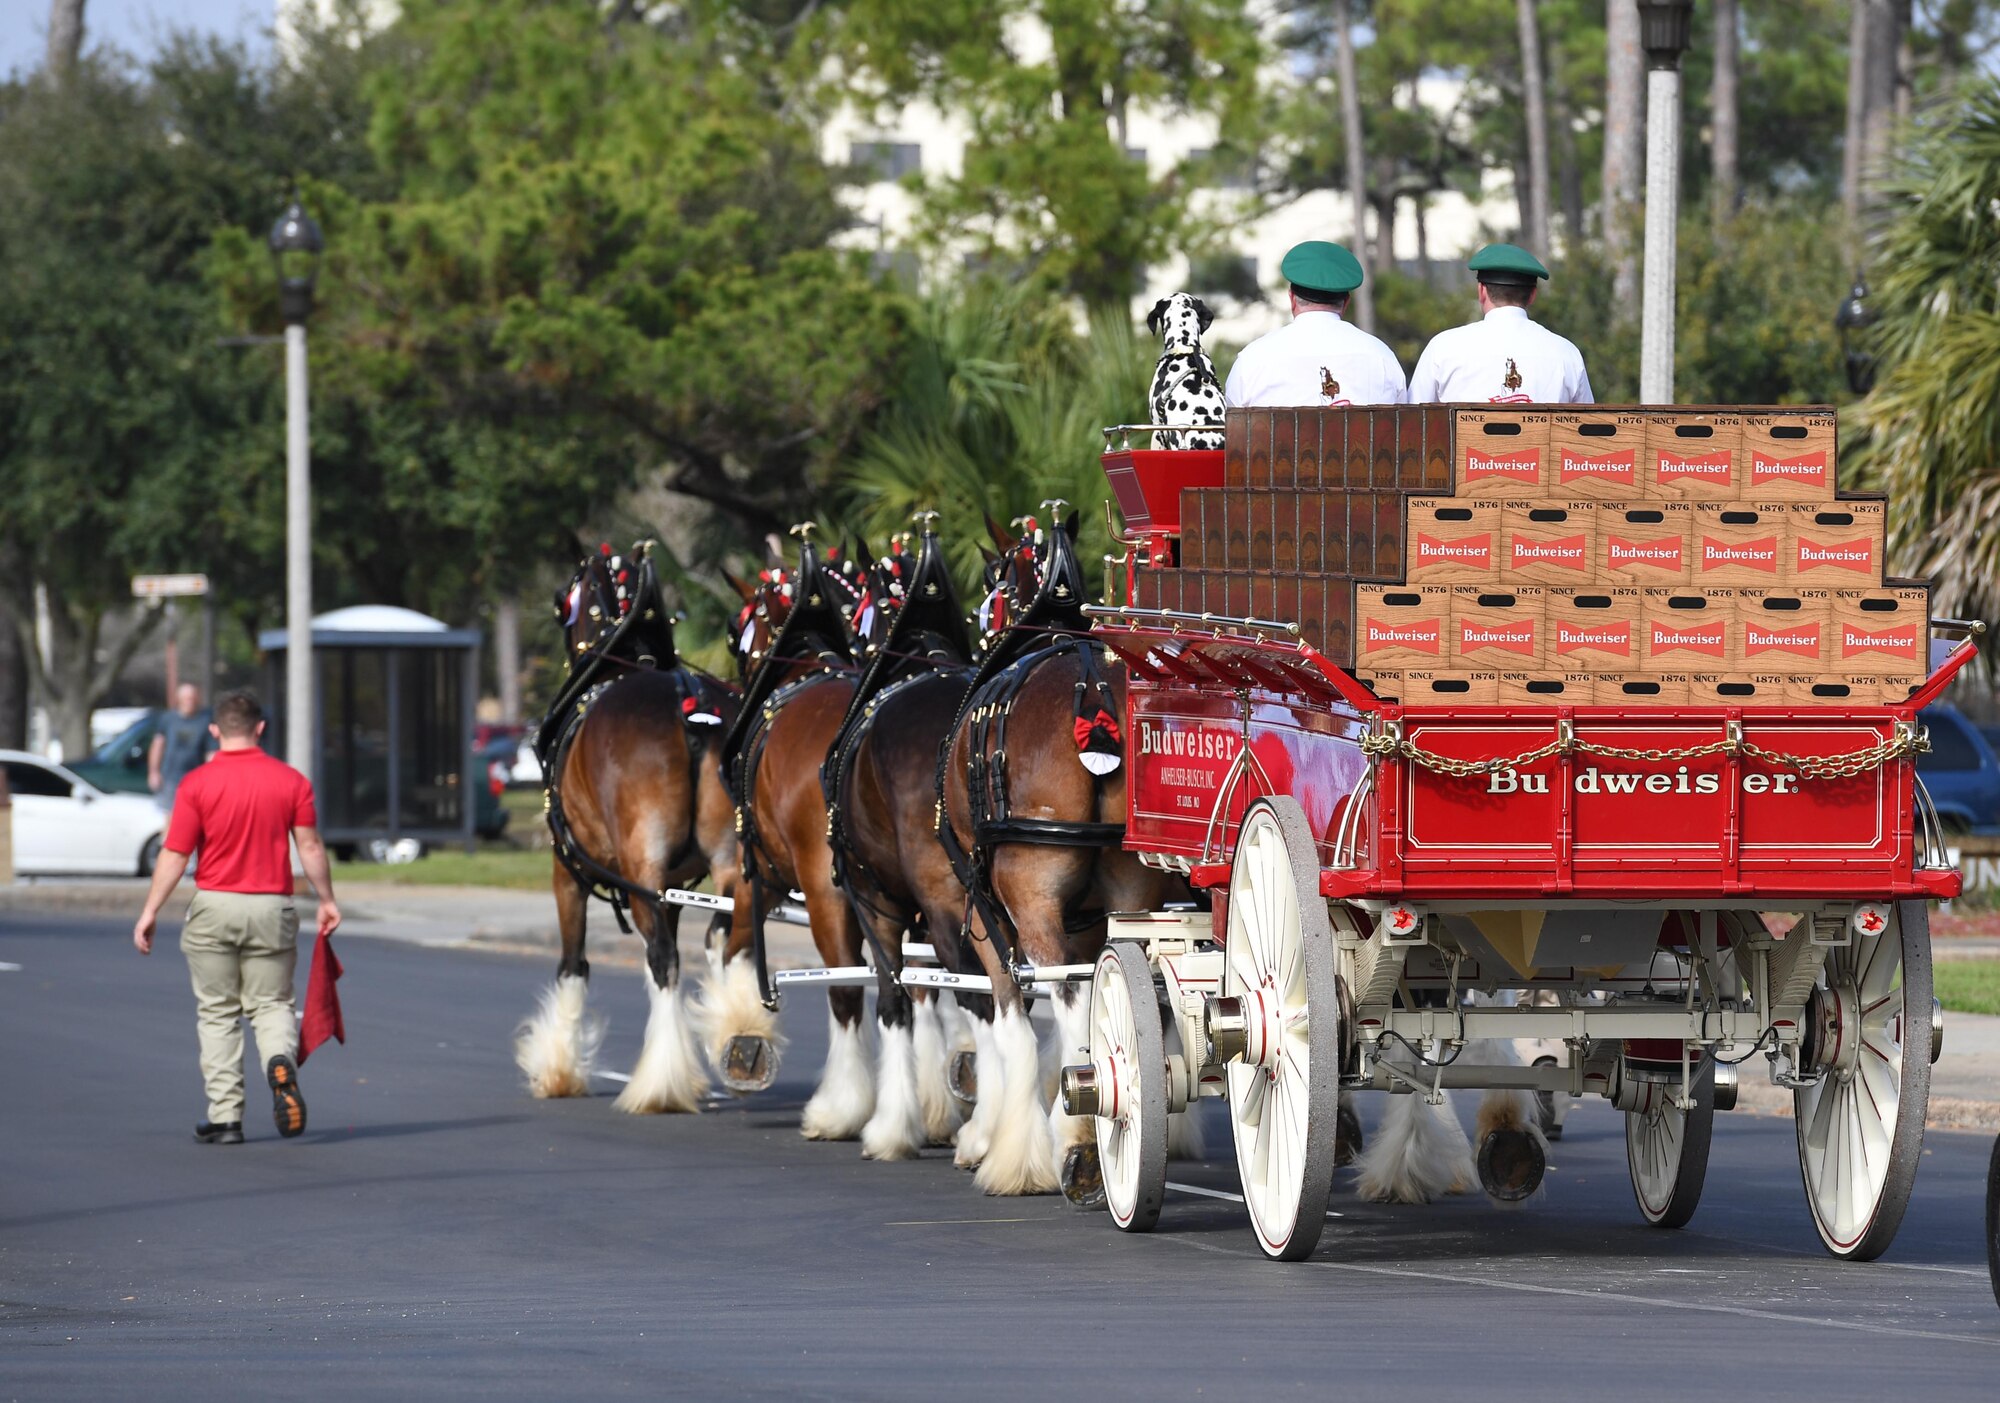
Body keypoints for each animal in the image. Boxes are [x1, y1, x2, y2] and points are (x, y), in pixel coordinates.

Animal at [516, 543, 756, 1119]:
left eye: (561, 600)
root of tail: (691, 708)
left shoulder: (568, 874)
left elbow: (573, 965)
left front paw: (558, 1068)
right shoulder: (671, 887)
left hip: (640, 867)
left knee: (666, 959)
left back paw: (661, 1083)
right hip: (726, 863)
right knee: (726, 938)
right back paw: (738, 1035)